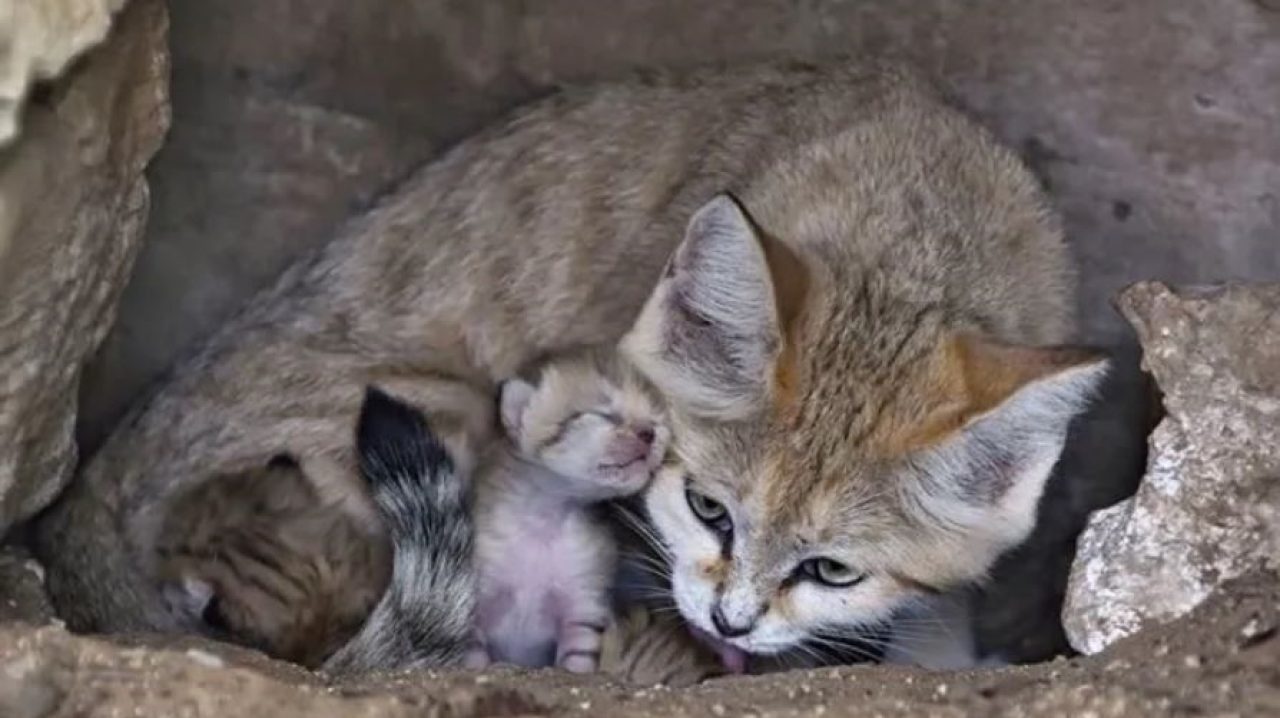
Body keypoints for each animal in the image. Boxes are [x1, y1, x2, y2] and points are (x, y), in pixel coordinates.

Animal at [471, 350, 670, 675]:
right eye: (605, 414)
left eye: (657, 421)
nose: (649, 433)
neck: (544, 522)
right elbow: (471, 656)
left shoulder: (581, 611)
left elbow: (577, 663)